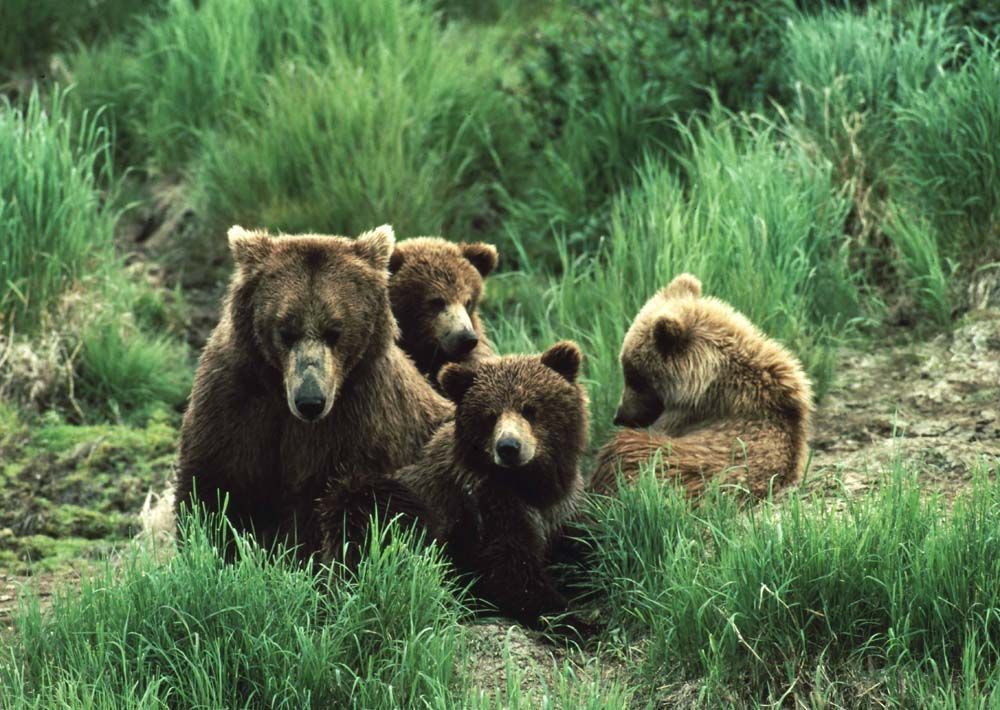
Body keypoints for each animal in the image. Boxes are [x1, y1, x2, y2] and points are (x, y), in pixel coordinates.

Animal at [173, 224, 453, 558]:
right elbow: (215, 488)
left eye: (335, 331)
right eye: (285, 330)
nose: (310, 401)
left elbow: (324, 508)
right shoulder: (237, 399)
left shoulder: (355, 422)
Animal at [375, 342, 589, 627]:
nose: (509, 447)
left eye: (529, 408)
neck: (530, 484)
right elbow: (511, 570)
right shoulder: (487, 504)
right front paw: (574, 619)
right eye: (490, 415)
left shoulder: (563, 506)